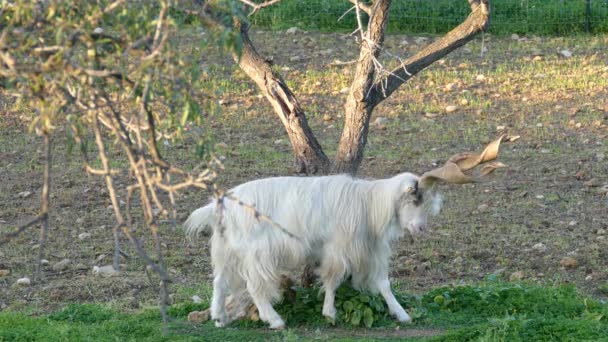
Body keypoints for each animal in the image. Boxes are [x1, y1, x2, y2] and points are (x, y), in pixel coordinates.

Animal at [185, 134, 512, 328]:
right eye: (415, 199)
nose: (420, 228)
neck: (370, 204)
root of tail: (220, 204)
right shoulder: (339, 247)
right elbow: (333, 279)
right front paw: (330, 313)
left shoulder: (370, 250)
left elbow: (383, 283)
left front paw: (402, 314)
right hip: (257, 251)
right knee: (254, 285)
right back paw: (274, 320)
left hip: (226, 248)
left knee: (219, 281)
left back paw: (219, 318)